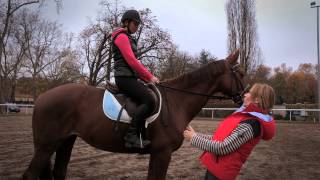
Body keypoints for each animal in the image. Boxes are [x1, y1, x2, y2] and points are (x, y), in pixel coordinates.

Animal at [22, 50, 245, 179]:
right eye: (240, 73)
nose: (244, 97)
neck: (176, 101)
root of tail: (42, 97)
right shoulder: (163, 153)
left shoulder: (157, 154)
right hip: (46, 145)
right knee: (30, 175)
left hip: (65, 141)